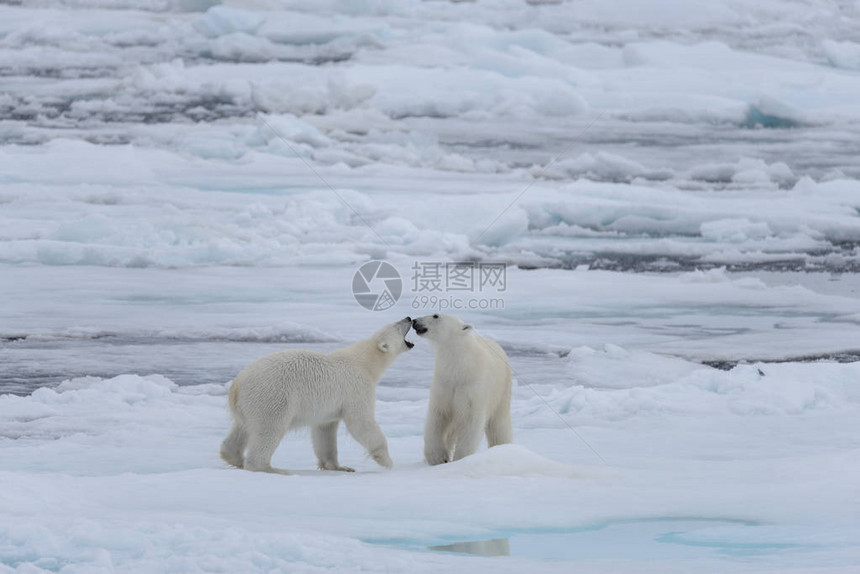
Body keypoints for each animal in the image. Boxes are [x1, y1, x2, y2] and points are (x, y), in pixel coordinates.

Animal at [218, 318, 414, 474]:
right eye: (396, 326)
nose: (409, 318)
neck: (365, 362)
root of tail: (236, 385)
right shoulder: (356, 388)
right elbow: (361, 422)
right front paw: (386, 461)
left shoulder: (329, 407)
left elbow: (324, 430)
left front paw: (340, 467)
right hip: (272, 397)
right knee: (269, 429)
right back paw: (271, 468)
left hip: (248, 404)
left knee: (242, 428)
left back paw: (234, 458)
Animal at [414, 312, 512, 466]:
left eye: (436, 316)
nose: (414, 321)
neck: (460, 367)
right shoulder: (444, 383)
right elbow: (437, 417)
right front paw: (437, 458)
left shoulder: (472, 387)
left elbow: (471, 421)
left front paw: (460, 459)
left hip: (502, 390)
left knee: (499, 425)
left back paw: (503, 449)